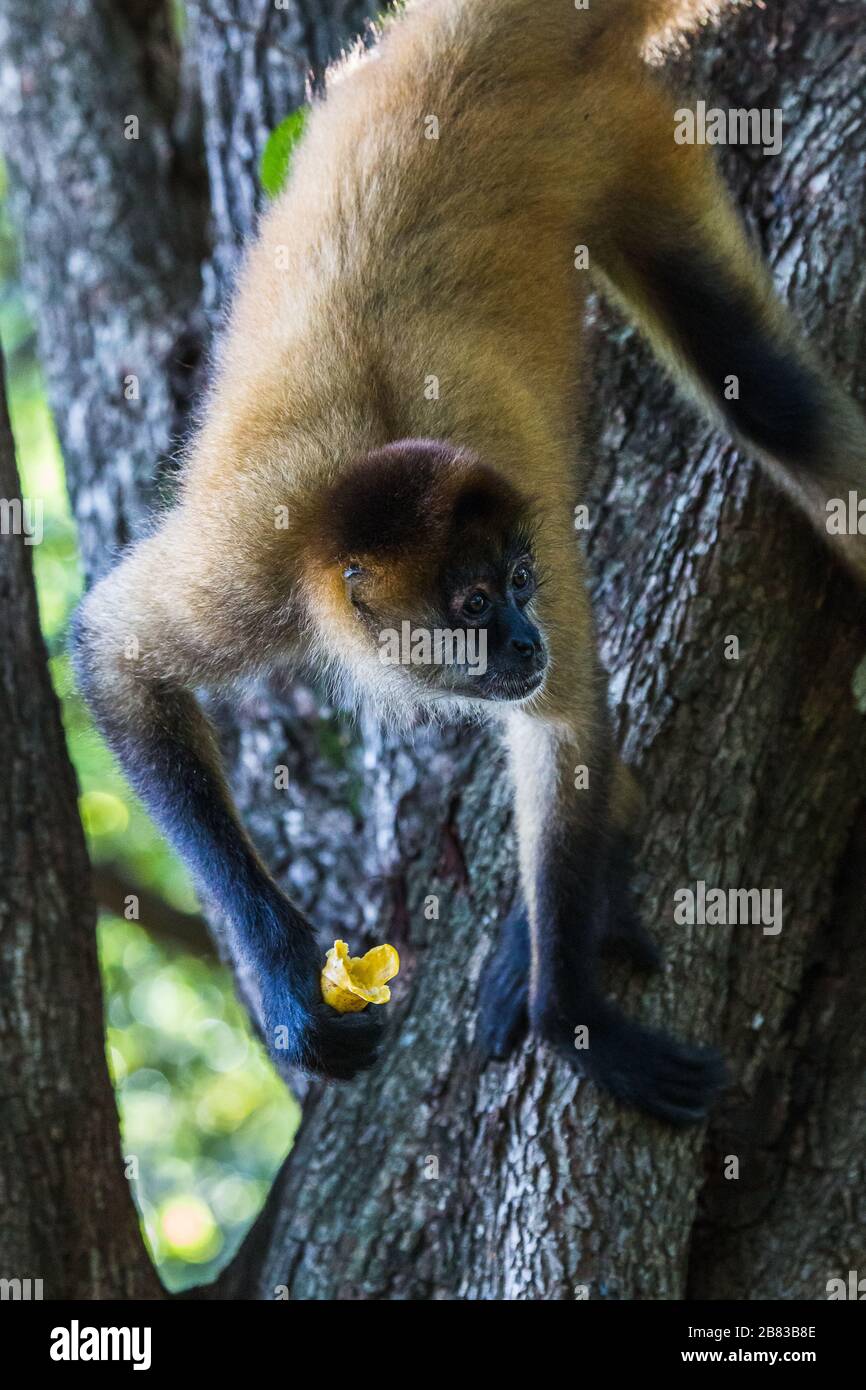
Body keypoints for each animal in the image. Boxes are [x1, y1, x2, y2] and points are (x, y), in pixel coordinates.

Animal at [72, 0, 866, 1123]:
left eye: (519, 586)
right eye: (477, 604)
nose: (526, 641)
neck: (347, 492)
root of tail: (471, 41)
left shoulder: (510, 516)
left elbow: (565, 725)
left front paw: (568, 1019)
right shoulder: (255, 559)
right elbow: (116, 654)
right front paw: (288, 984)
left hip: (615, 137)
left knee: (768, 397)